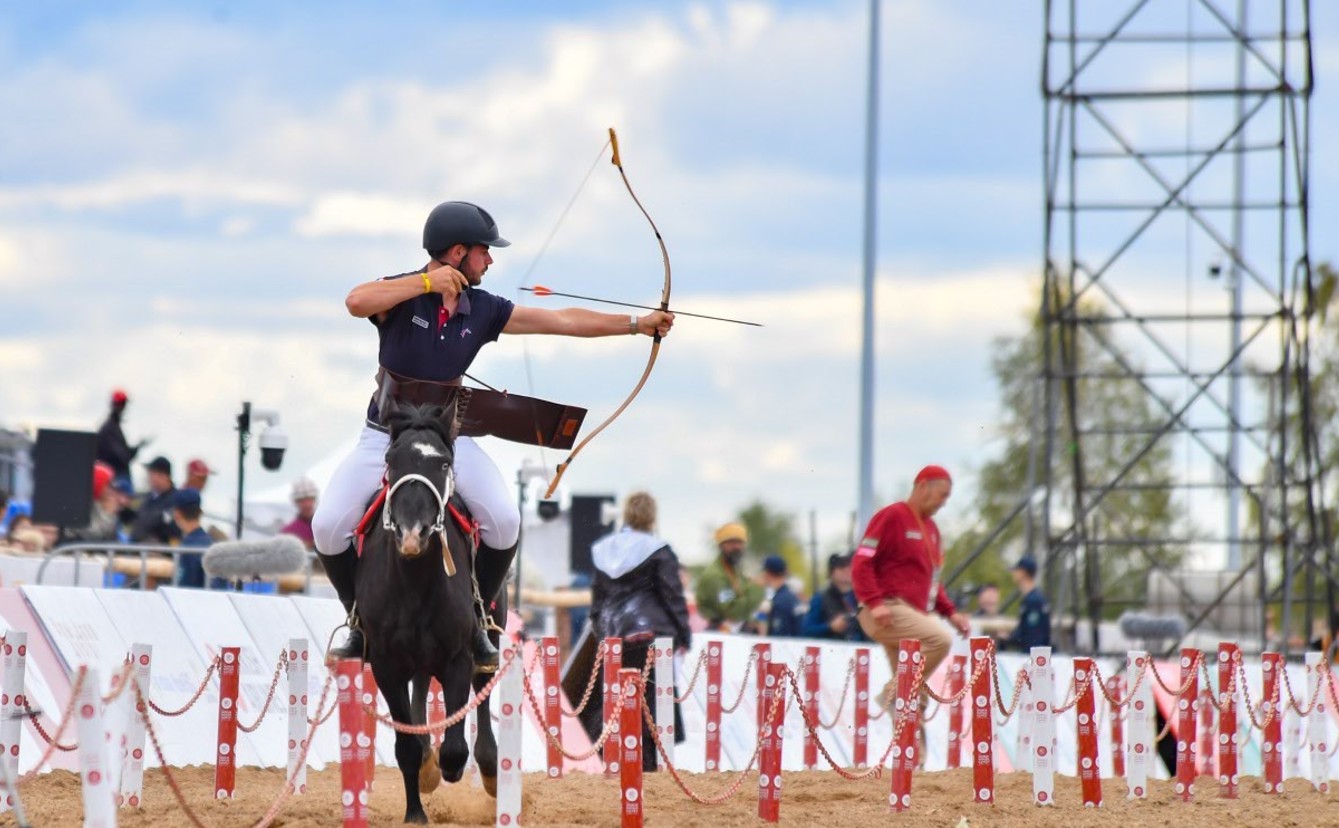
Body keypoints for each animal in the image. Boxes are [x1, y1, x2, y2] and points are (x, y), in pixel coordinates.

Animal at [353, 399, 503, 819]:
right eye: (392, 459)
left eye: (443, 463)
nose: (412, 534)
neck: (414, 580)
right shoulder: (386, 664)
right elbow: (405, 747)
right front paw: (416, 809)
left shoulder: (457, 658)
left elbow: (454, 745)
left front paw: (446, 768)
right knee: (420, 691)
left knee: (483, 684)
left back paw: (489, 769)